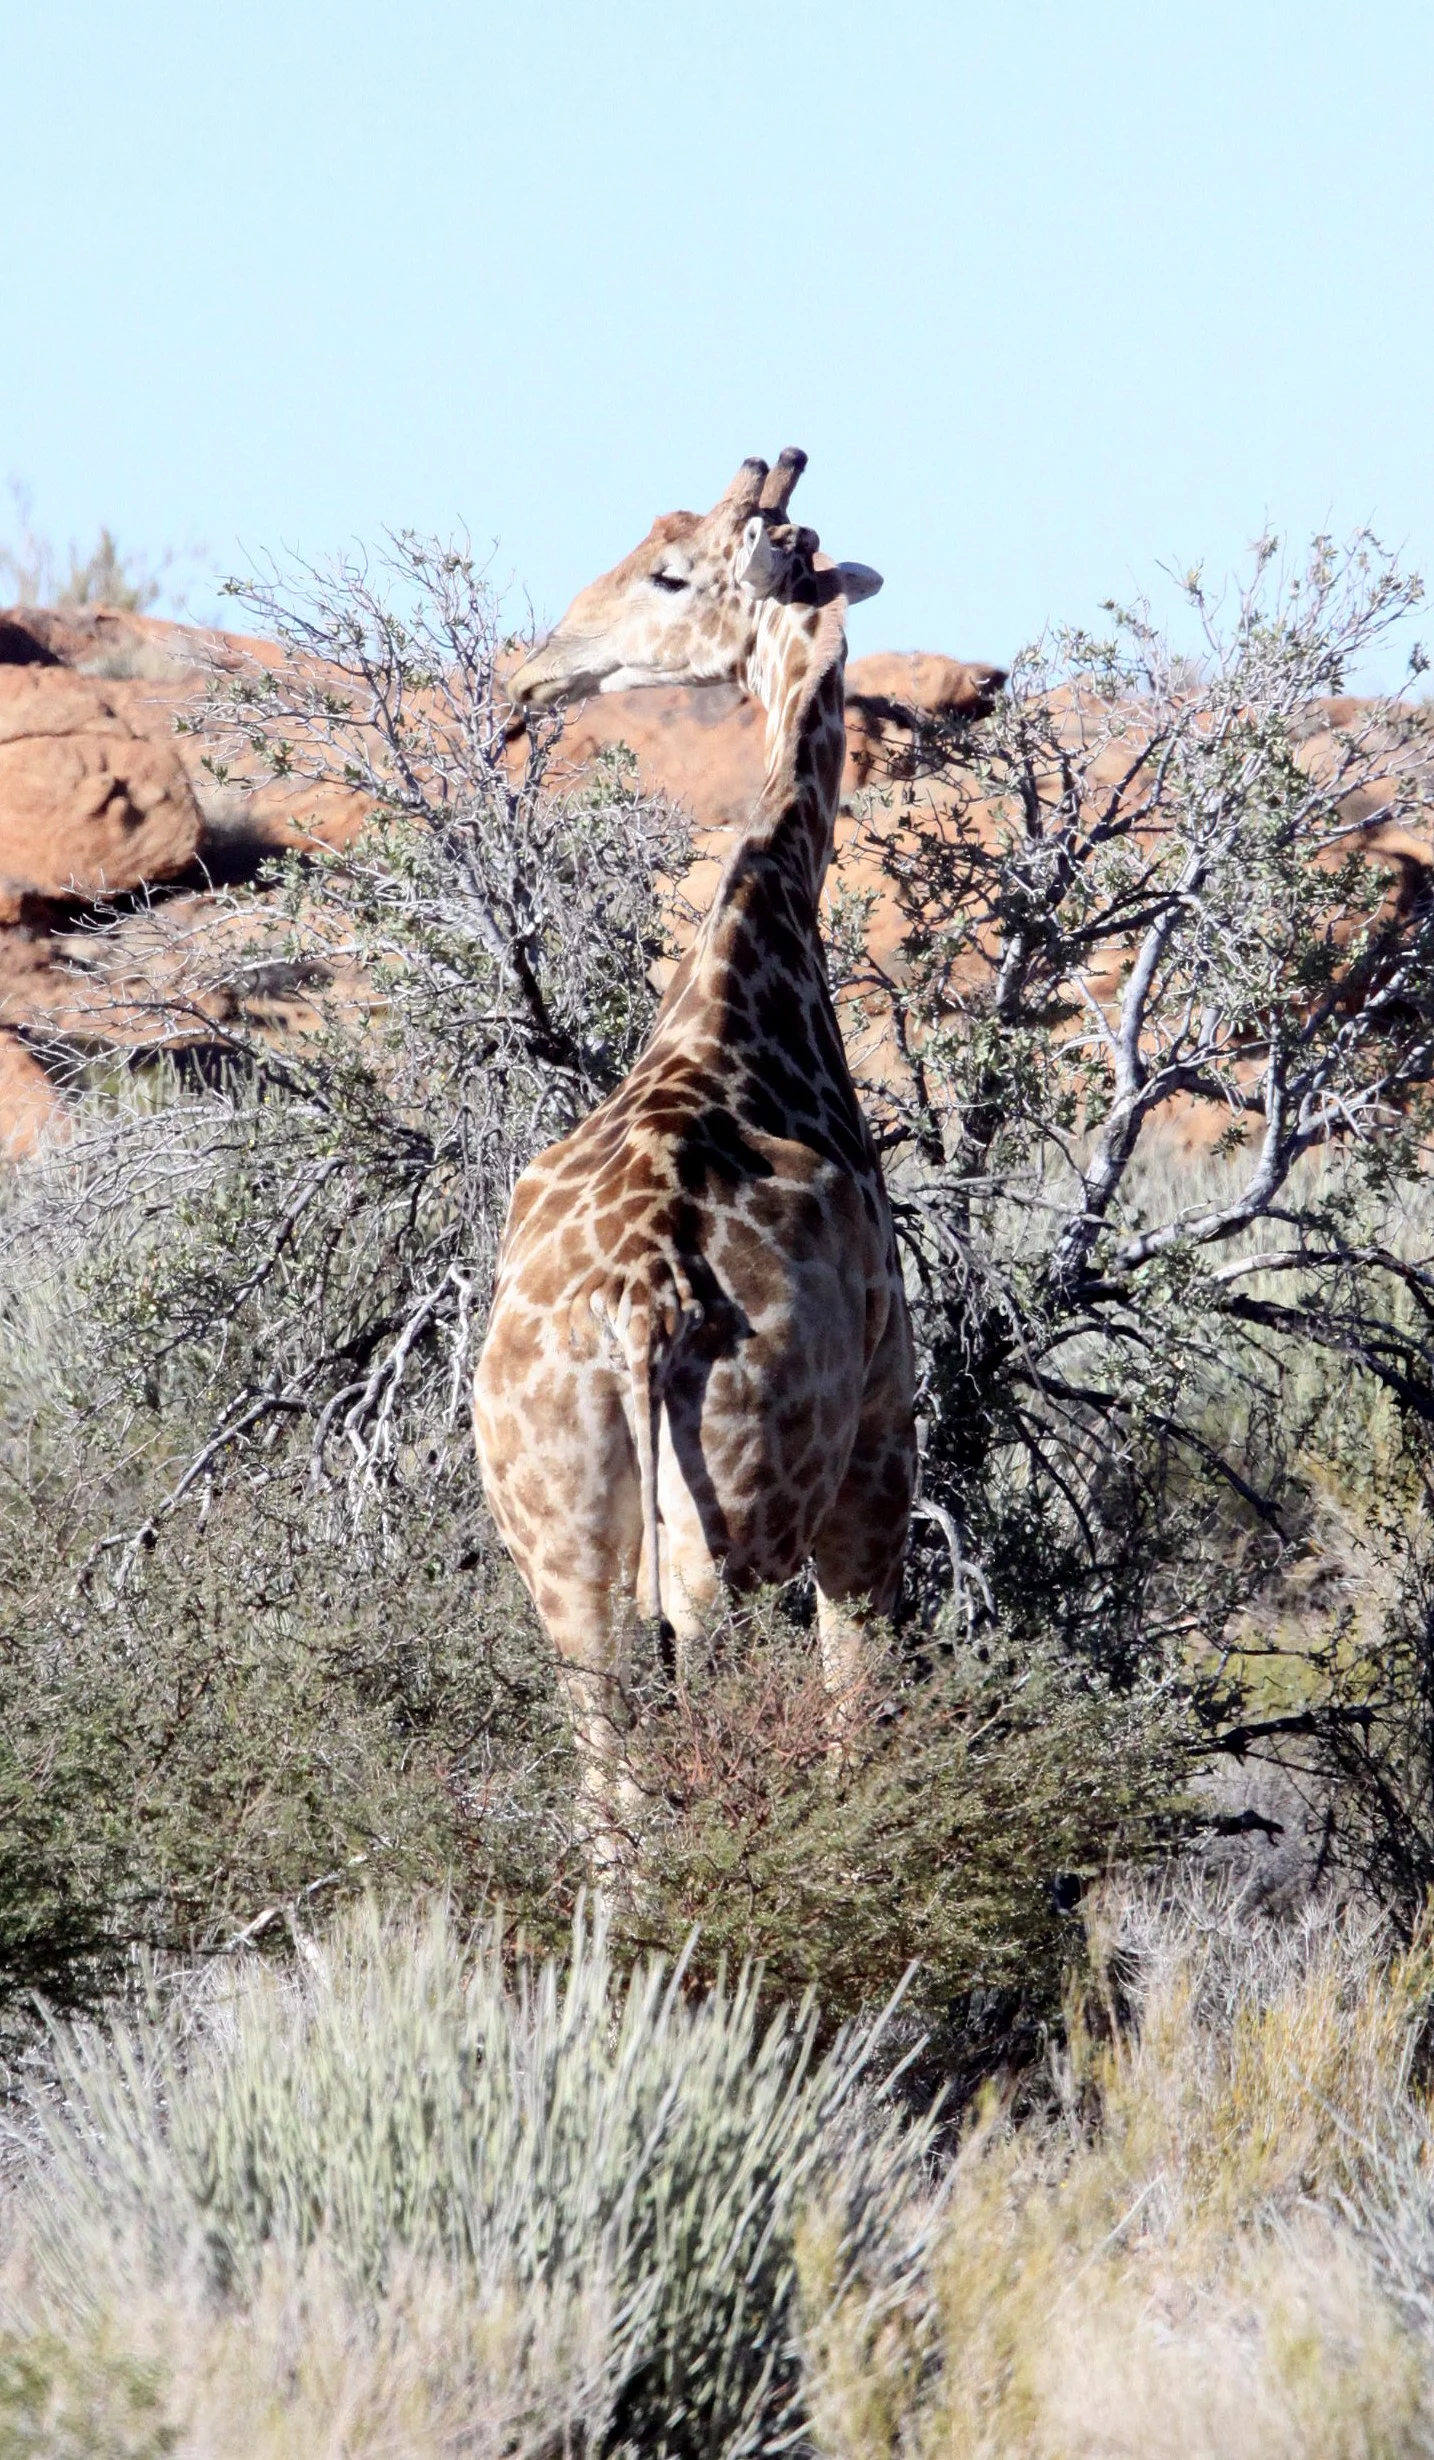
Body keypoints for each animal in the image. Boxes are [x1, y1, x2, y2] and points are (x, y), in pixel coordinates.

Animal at [474, 450, 917, 1826]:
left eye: (669, 572)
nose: (529, 673)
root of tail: (639, 1306)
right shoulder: (881, 1450)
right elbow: (854, 1719)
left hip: (556, 1542)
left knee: (604, 1793)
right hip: (717, 1537)